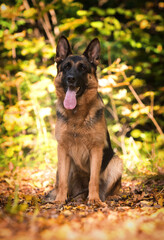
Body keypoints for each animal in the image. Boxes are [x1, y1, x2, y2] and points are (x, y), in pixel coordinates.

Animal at [45, 36, 122, 205]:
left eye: (82, 68)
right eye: (66, 67)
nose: (70, 79)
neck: (77, 116)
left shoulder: (96, 150)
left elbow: (93, 179)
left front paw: (93, 199)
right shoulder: (63, 149)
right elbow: (62, 182)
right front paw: (60, 200)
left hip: (116, 162)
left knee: (107, 189)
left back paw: (106, 197)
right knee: (63, 184)